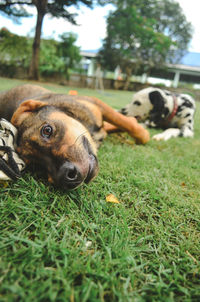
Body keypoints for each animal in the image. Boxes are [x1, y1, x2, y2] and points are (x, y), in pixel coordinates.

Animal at [0, 84, 149, 190]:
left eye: (47, 130)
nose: (67, 176)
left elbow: (127, 124)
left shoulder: (97, 104)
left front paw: (140, 132)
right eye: (36, 167)